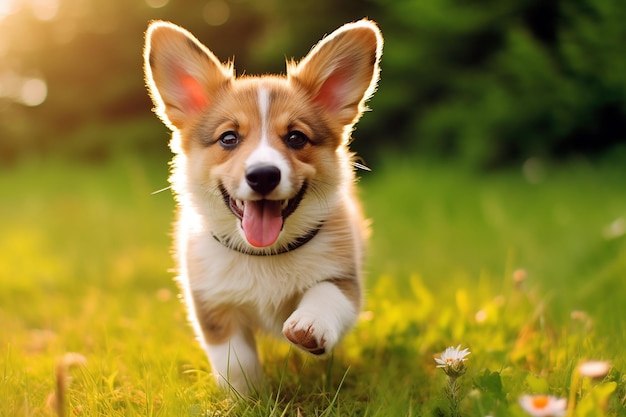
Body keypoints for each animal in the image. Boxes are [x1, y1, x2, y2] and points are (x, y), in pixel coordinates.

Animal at [144, 17, 382, 394]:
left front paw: (309, 325)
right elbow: (235, 360)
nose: (264, 175)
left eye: (296, 138)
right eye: (229, 138)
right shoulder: (213, 304)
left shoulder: (345, 278)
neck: (265, 255)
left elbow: (325, 293)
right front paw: (248, 396)